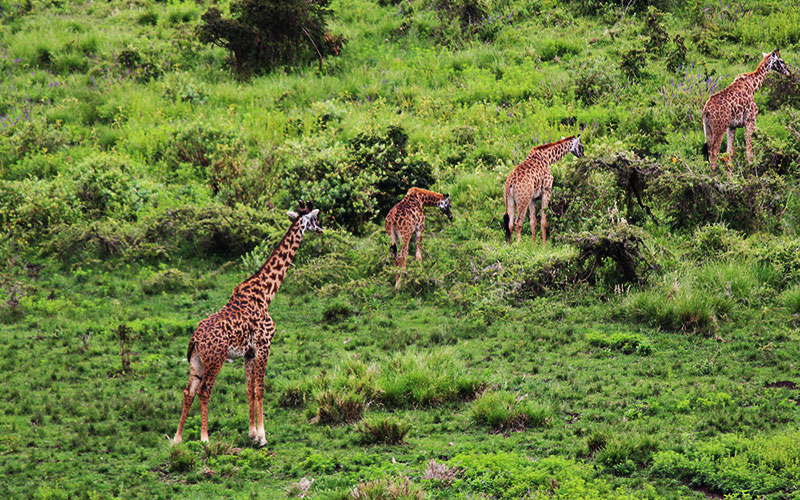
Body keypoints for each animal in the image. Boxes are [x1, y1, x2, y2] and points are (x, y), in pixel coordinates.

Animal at [172, 203, 322, 446]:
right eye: (315, 219)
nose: (321, 230)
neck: (266, 293)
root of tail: (194, 338)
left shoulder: (249, 353)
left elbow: (249, 390)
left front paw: (252, 434)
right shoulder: (264, 344)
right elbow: (260, 389)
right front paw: (262, 437)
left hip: (196, 361)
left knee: (189, 391)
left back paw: (177, 438)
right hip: (215, 359)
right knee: (204, 391)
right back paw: (205, 438)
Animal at [704, 48, 792, 177]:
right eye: (781, 61)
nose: (789, 73)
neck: (753, 85)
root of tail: (706, 110)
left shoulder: (732, 126)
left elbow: (729, 153)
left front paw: (731, 178)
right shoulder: (750, 119)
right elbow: (749, 151)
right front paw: (752, 175)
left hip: (709, 129)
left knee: (710, 152)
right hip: (719, 128)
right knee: (714, 152)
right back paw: (715, 177)